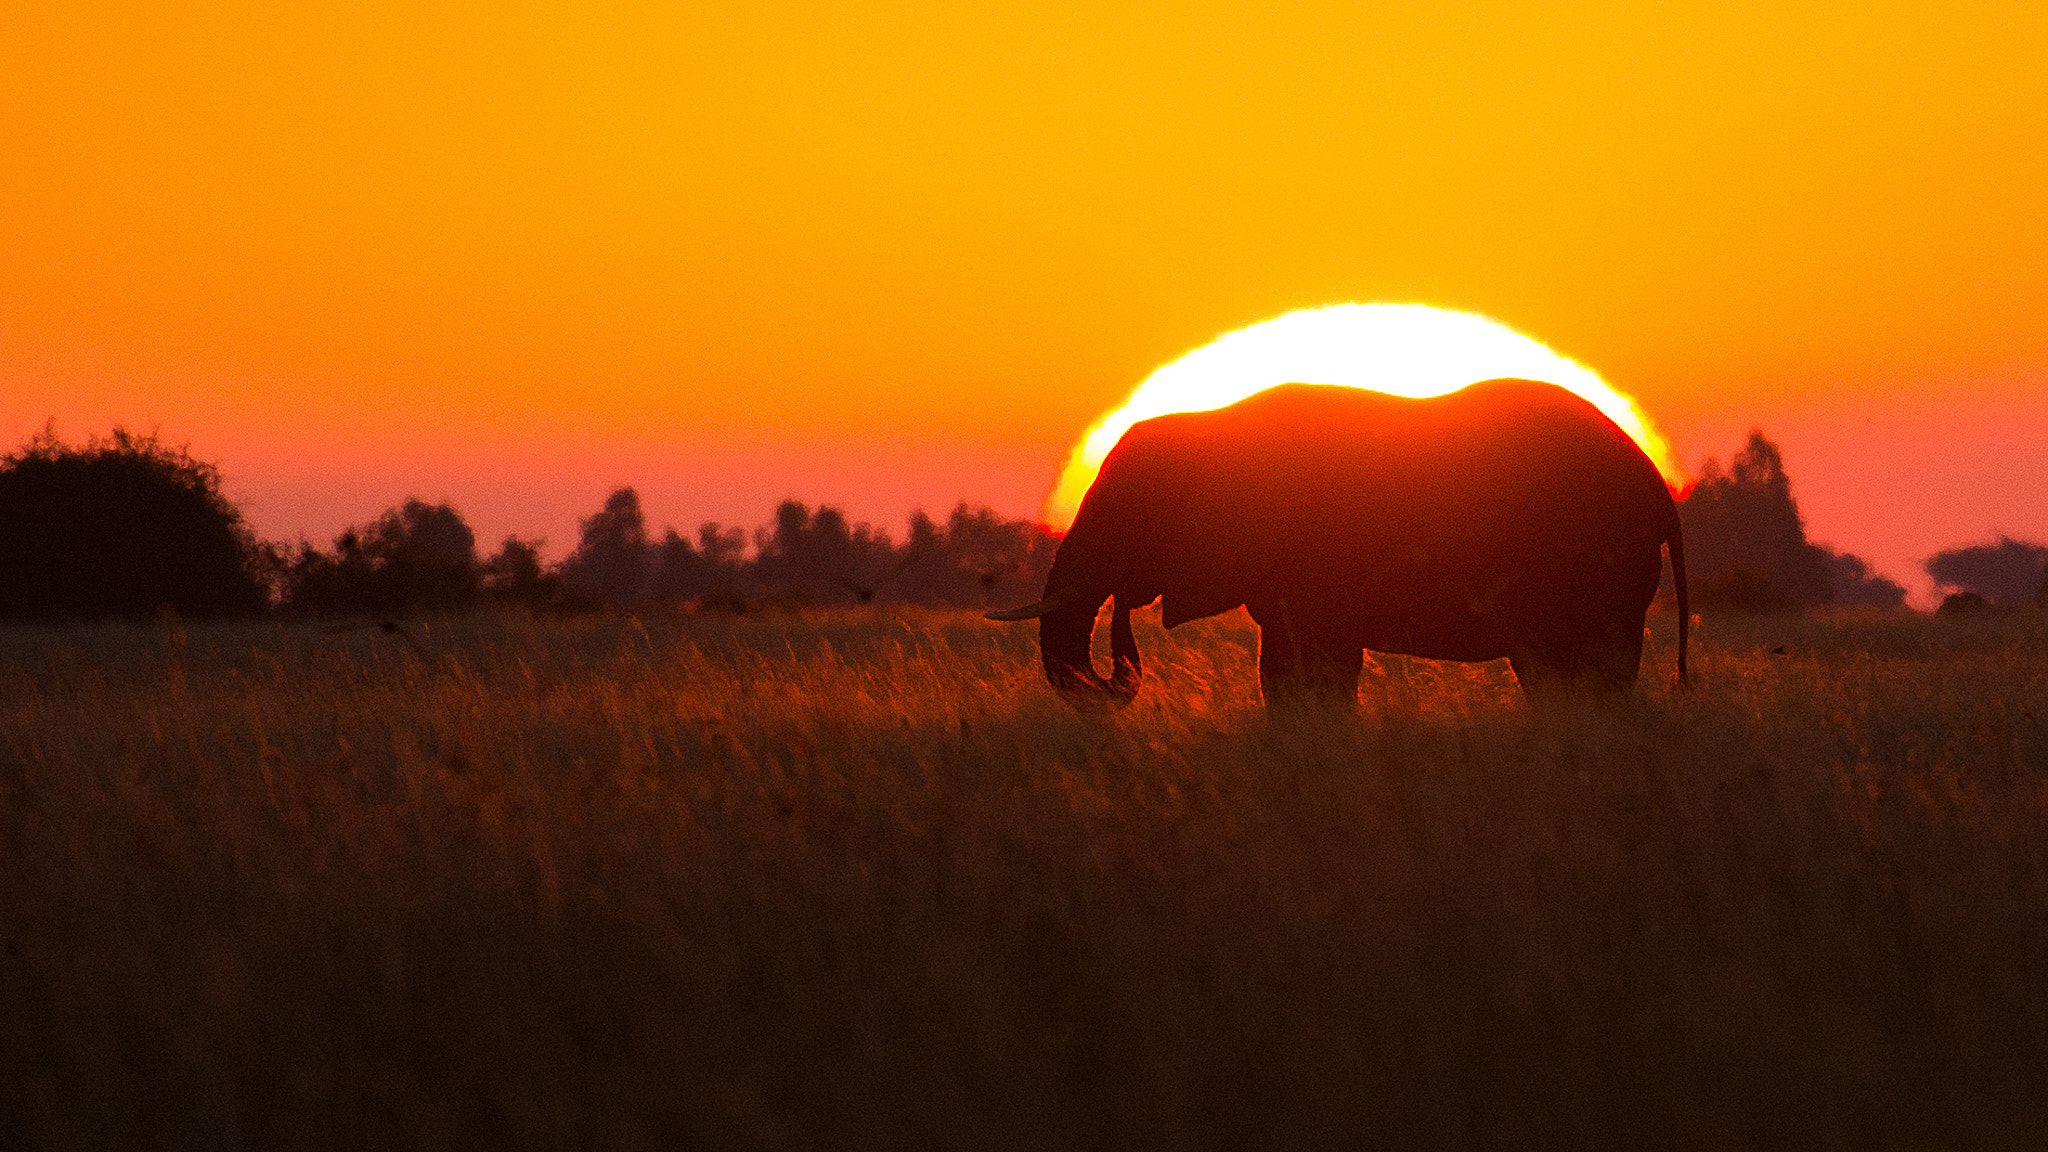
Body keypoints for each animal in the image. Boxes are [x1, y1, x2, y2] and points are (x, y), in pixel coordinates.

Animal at [989, 380, 1688, 707]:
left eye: (1126, 515)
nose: (1120, 609)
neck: (1212, 426)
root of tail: (1658, 486)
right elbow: (1282, 672)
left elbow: (1321, 667)